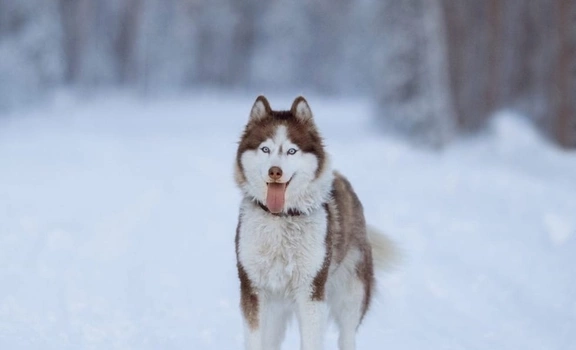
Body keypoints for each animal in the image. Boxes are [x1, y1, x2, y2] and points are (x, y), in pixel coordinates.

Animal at [234, 95, 392, 350]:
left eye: (291, 151)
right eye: (265, 149)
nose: (275, 171)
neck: (282, 218)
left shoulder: (311, 291)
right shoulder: (253, 288)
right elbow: (256, 338)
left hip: (352, 294)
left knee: (347, 335)